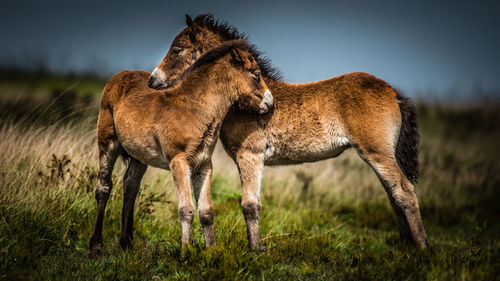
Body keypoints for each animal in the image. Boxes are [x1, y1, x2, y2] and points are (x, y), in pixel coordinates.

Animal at [148, 14, 430, 249]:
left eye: (177, 49)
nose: (153, 80)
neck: (243, 101)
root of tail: (393, 93)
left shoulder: (250, 155)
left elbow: (250, 205)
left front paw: (255, 251)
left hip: (377, 152)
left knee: (404, 191)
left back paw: (423, 249)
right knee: (393, 194)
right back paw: (406, 247)